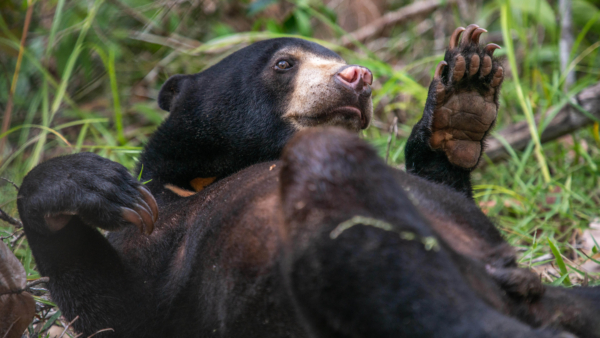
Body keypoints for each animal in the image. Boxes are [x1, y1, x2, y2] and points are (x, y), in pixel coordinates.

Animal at [12, 25, 600, 336]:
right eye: (283, 64)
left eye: (339, 58)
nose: (359, 77)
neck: (210, 172)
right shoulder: (158, 244)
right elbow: (117, 307)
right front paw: (94, 184)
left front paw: (462, 95)